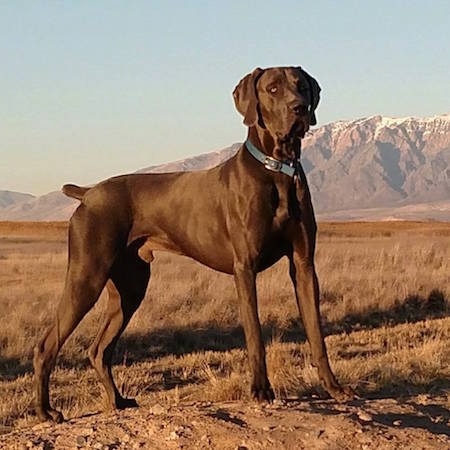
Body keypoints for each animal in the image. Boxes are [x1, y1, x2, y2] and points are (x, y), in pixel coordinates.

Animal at [33, 66, 354, 422]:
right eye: (272, 88)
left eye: (302, 87)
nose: (299, 108)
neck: (276, 170)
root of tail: (88, 193)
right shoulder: (245, 268)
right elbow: (255, 335)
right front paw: (260, 390)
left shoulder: (303, 265)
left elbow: (316, 333)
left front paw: (334, 387)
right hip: (87, 275)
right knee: (47, 345)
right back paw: (46, 411)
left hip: (130, 288)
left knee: (99, 349)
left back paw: (118, 401)